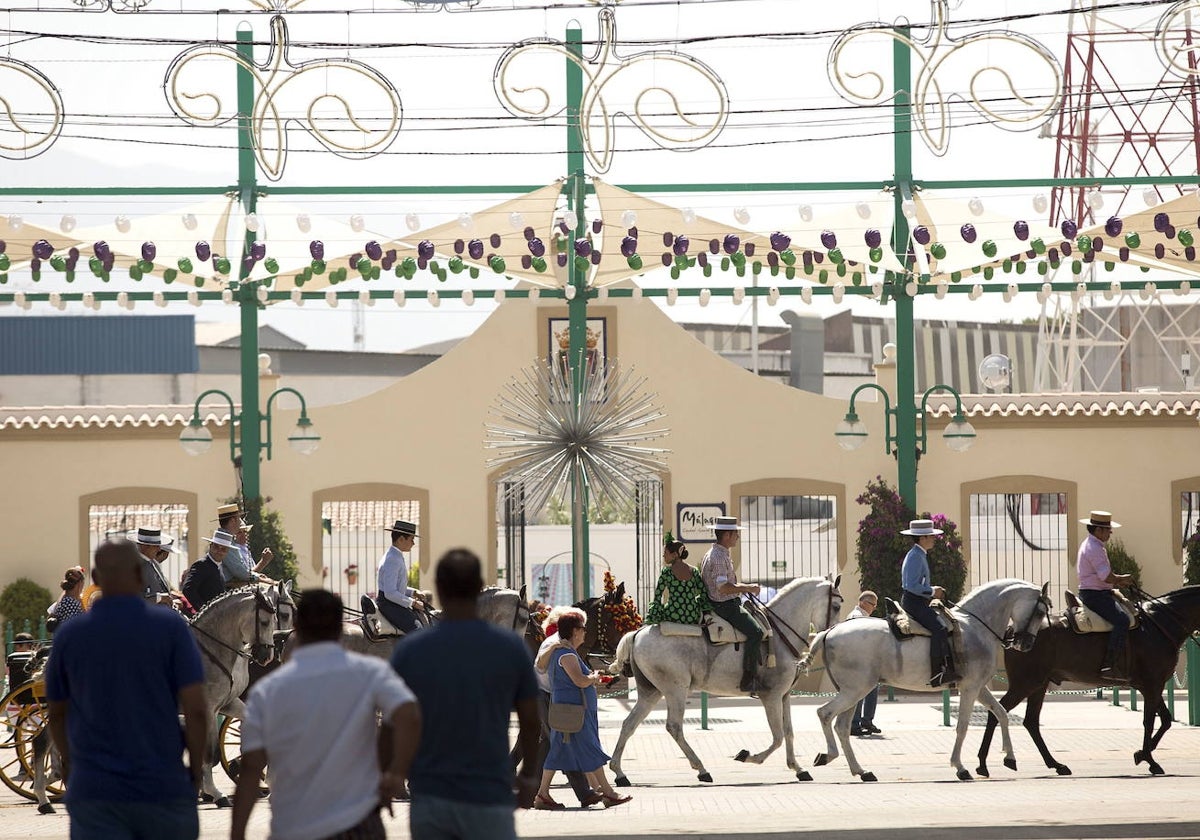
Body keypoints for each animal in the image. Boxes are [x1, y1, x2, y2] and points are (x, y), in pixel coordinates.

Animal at [604, 573, 840, 782]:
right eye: (837, 606)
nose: (831, 633)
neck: (780, 635)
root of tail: (636, 634)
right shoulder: (771, 696)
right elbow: (778, 737)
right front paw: (747, 756)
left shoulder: (784, 695)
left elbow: (789, 732)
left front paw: (798, 768)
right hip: (675, 690)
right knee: (674, 727)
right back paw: (701, 769)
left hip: (650, 692)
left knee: (629, 724)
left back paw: (619, 772)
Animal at [806, 578, 1051, 782]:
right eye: (1040, 611)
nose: (1026, 644)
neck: (975, 627)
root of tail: (829, 632)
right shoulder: (970, 688)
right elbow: (962, 726)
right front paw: (960, 767)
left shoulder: (979, 687)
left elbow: (1001, 714)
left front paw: (1009, 758)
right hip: (855, 690)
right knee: (825, 714)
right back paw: (829, 756)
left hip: (854, 692)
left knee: (842, 726)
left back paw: (861, 771)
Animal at [979, 588, 1200, 777]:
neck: (1159, 624)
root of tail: (1014, 632)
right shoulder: (1153, 684)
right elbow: (1150, 722)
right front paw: (1150, 760)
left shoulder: (1150, 686)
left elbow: (1165, 720)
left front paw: (1141, 754)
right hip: (1025, 683)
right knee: (998, 712)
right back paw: (983, 764)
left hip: (1038, 685)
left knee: (1030, 722)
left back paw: (1056, 764)